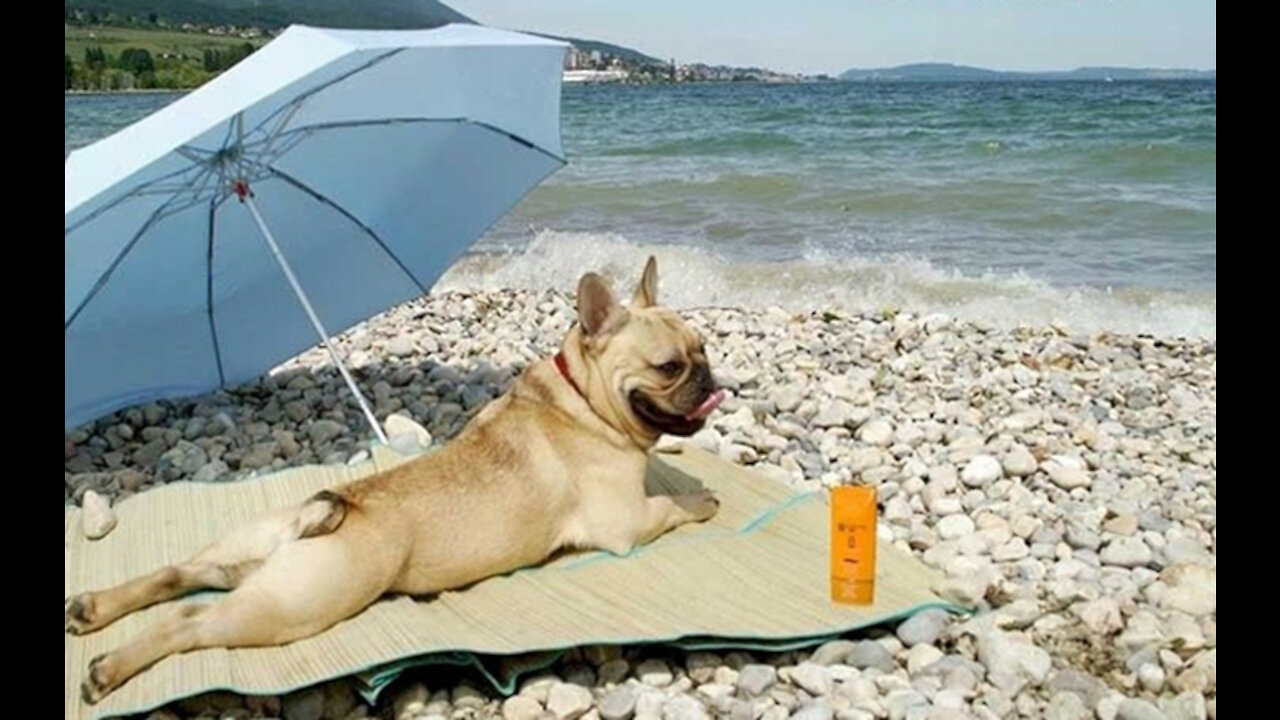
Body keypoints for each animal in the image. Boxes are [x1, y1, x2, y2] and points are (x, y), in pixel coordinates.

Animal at [70, 256, 727, 702]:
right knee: (191, 622)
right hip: (292, 607)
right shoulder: (626, 525)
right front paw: (702, 496)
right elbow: (672, 508)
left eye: (703, 348)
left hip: (240, 553)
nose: (709, 375)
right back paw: (110, 668)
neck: (582, 400)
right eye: (669, 366)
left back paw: (94, 608)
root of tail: (324, 508)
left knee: (177, 574)